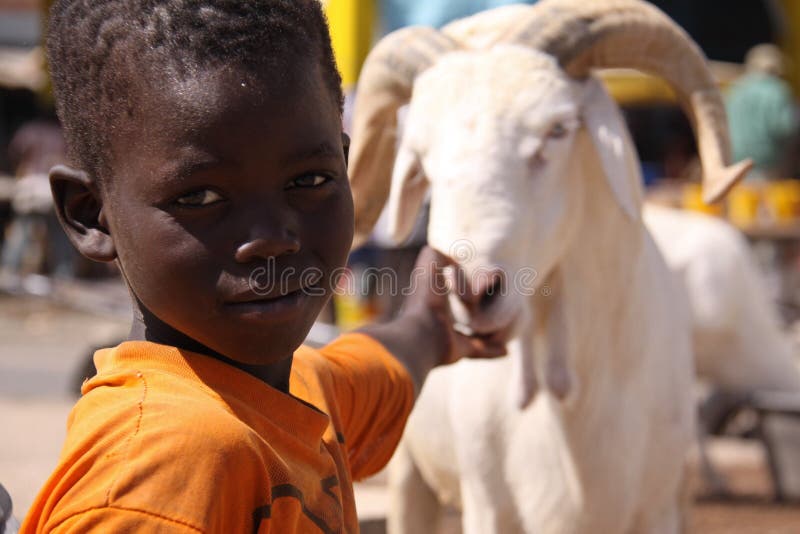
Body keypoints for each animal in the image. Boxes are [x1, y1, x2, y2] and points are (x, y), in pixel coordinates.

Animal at [348, 1, 752, 534]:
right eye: (420, 157)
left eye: (557, 130)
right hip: (413, 478)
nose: (472, 290)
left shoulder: (659, 508)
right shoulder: (487, 505)